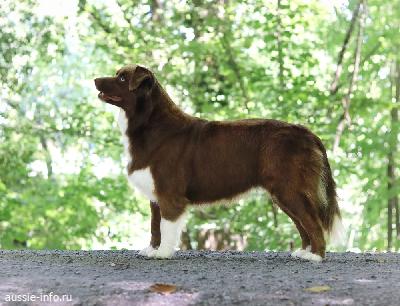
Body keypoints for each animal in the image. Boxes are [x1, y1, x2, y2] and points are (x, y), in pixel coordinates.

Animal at [94, 64, 344, 260]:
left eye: (122, 78)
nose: (95, 80)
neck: (149, 123)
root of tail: (307, 133)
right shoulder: (156, 195)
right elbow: (155, 226)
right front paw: (152, 250)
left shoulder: (169, 194)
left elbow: (166, 226)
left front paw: (163, 253)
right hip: (284, 193)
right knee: (303, 223)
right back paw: (304, 252)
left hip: (290, 188)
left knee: (312, 222)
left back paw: (316, 256)